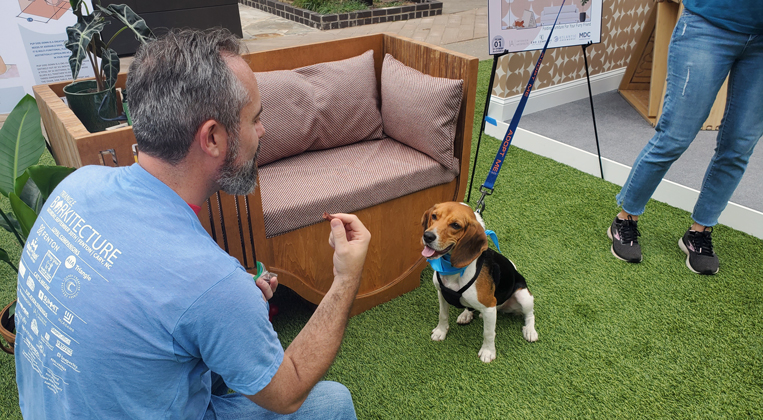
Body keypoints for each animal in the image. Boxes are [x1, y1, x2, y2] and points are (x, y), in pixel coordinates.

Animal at [424, 202, 536, 362]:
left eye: (456, 225)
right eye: (434, 216)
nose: (427, 236)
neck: (453, 268)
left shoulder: (489, 306)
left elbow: (488, 333)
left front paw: (488, 352)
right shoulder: (442, 294)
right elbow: (443, 315)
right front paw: (441, 331)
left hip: (523, 296)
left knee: (530, 315)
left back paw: (530, 331)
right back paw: (466, 314)